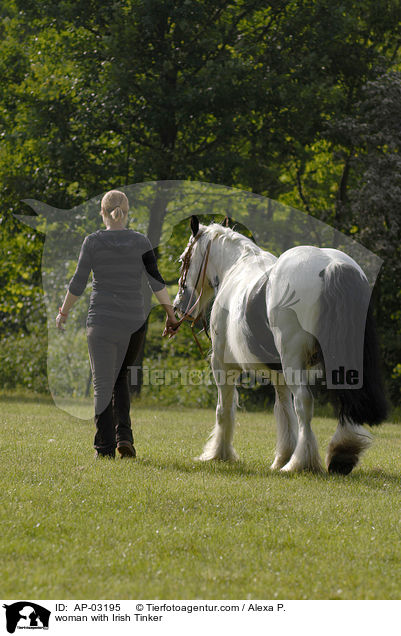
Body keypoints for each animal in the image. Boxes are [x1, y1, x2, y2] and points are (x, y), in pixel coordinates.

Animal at [173, 217, 386, 472]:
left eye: (184, 259)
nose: (178, 305)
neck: (235, 268)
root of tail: (332, 266)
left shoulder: (223, 366)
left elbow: (224, 410)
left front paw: (219, 454)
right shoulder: (279, 373)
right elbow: (284, 411)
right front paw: (282, 456)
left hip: (292, 358)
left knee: (304, 403)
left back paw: (300, 463)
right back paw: (341, 454)